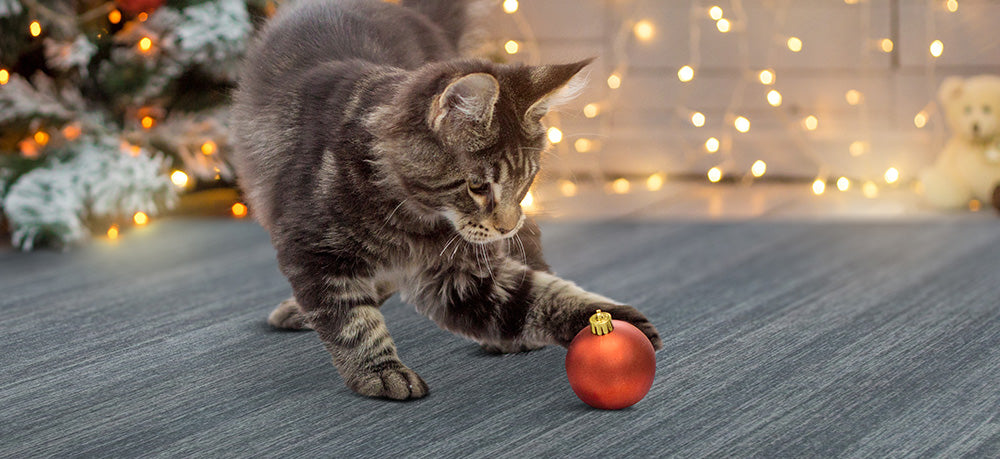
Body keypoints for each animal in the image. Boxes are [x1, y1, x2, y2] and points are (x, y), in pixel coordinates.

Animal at [230, 0, 660, 400]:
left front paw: (609, 320)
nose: (506, 224)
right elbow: (352, 321)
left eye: (526, 180)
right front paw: (380, 371)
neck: (411, 221)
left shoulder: (458, 276)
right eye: (478, 186)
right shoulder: (313, 251)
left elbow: (538, 296)